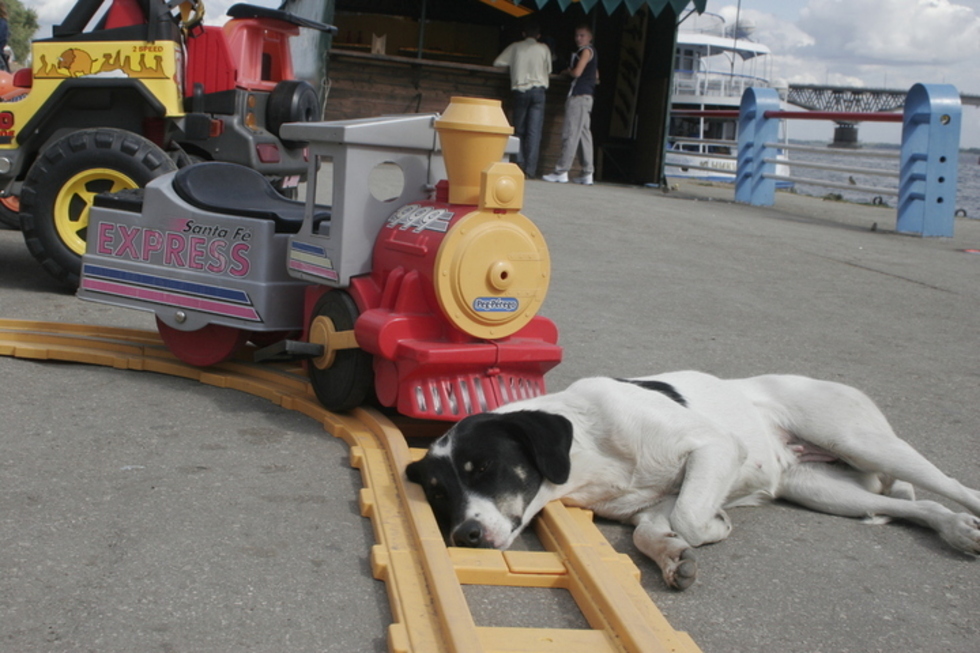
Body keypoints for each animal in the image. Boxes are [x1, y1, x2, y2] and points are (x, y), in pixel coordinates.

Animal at [404, 372, 980, 592]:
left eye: (484, 468)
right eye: (440, 494)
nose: (464, 537)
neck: (590, 450)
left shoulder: (714, 448)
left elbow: (687, 517)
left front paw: (712, 528)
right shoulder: (651, 505)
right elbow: (650, 531)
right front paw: (673, 557)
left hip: (859, 439)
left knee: (953, 486)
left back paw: (968, 518)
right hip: (821, 489)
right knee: (917, 508)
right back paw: (955, 531)